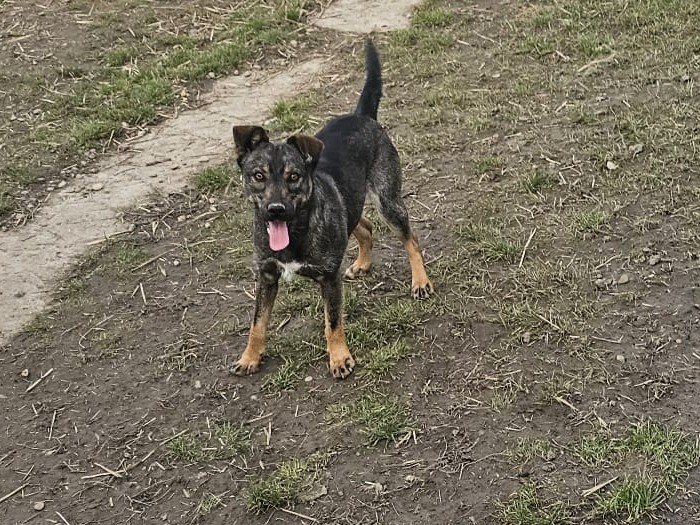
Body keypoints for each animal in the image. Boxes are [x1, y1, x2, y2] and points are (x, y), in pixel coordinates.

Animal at [231, 40, 433, 379]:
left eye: (294, 176)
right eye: (258, 175)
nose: (275, 210)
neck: (295, 232)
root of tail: (361, 115)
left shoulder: (328, 278)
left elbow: (333, 322)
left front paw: (339, 358)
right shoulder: (267, 276)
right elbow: (257, 323)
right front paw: (250, 357)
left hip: (388, 200)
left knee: (410, 238)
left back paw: (420, 281)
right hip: (352, 207)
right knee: (365, 227)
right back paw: (362, 263)